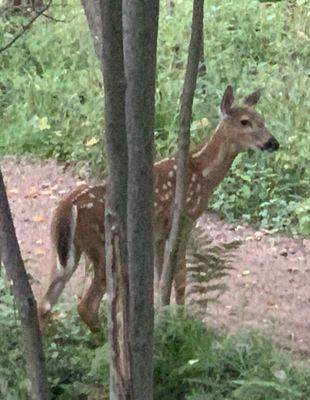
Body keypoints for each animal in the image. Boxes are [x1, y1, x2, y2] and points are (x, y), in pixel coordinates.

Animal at [37, 86, 280, 332]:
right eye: (245, 122)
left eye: (263, 119)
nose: (273, 143)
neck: (202, 173)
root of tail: (68, 206)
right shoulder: (184, 220)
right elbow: (180, 277)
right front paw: (181, 320)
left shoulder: (159, 234)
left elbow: (161, 277)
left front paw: (165, 317)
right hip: (101, 244)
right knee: (85, 305)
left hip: (66, 248)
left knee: (45, 302)